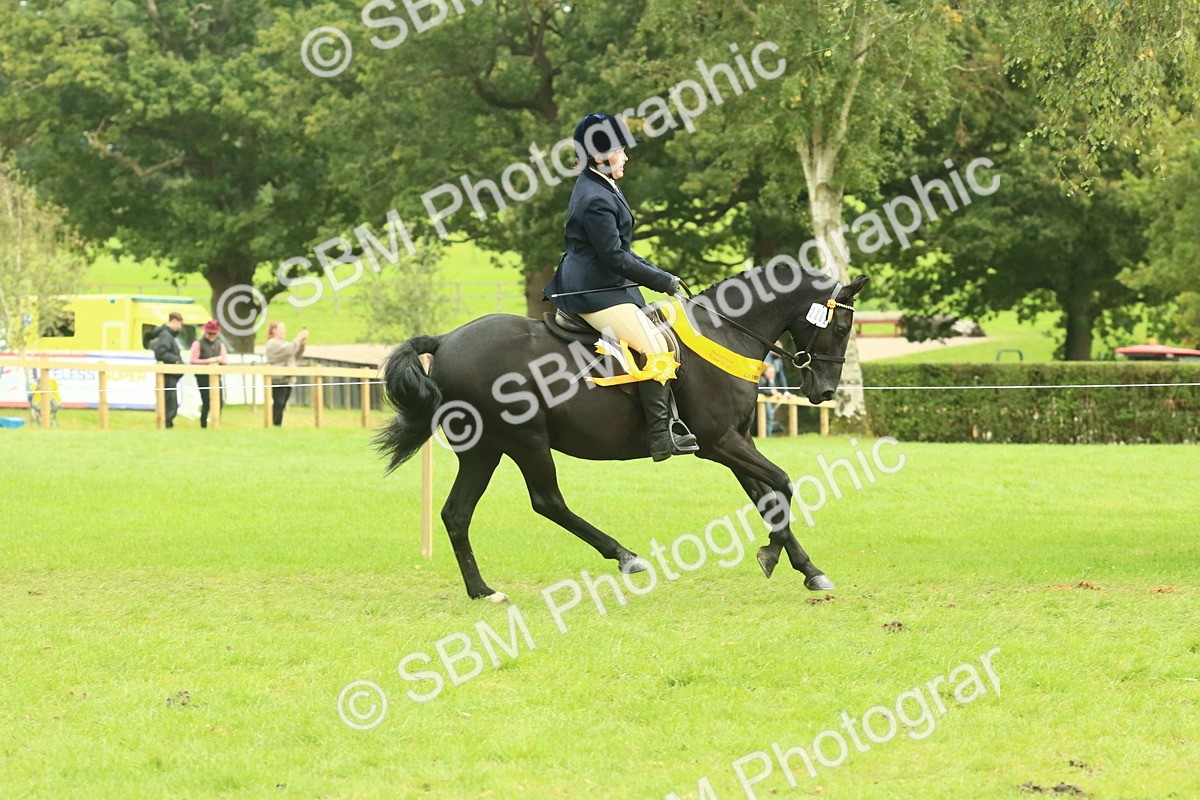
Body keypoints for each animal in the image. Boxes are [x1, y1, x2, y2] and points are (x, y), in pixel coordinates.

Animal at [376, 262, 868, 602]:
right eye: (842, 327)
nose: (825, 391)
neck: (725, 332)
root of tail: (444, 341)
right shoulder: (719, 443)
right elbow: (783, 483)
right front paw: (772, 554)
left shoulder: (738, 441)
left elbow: (769, 499)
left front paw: (806, 568)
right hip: (525, 441)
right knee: (547, 501)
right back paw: (626, 557)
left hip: (484, 449)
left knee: (457, 514)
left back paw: (483, 591)